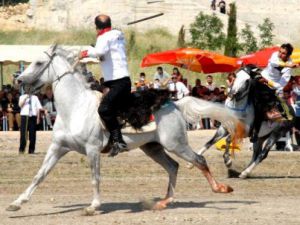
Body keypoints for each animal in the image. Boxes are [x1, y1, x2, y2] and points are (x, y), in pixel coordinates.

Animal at [5, 45, 243, 213]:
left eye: (38, 63)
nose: (18, 80)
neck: (75, 106)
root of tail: (174, 103)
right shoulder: (58, 147)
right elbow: (39, 175)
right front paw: (17, 202)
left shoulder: (92, 150)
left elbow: (95, 178)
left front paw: (93, 206)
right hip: (153, 147)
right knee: (173, 166)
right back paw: (164, 202)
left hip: (176, 144)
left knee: (198, 160)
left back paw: (221, 188)